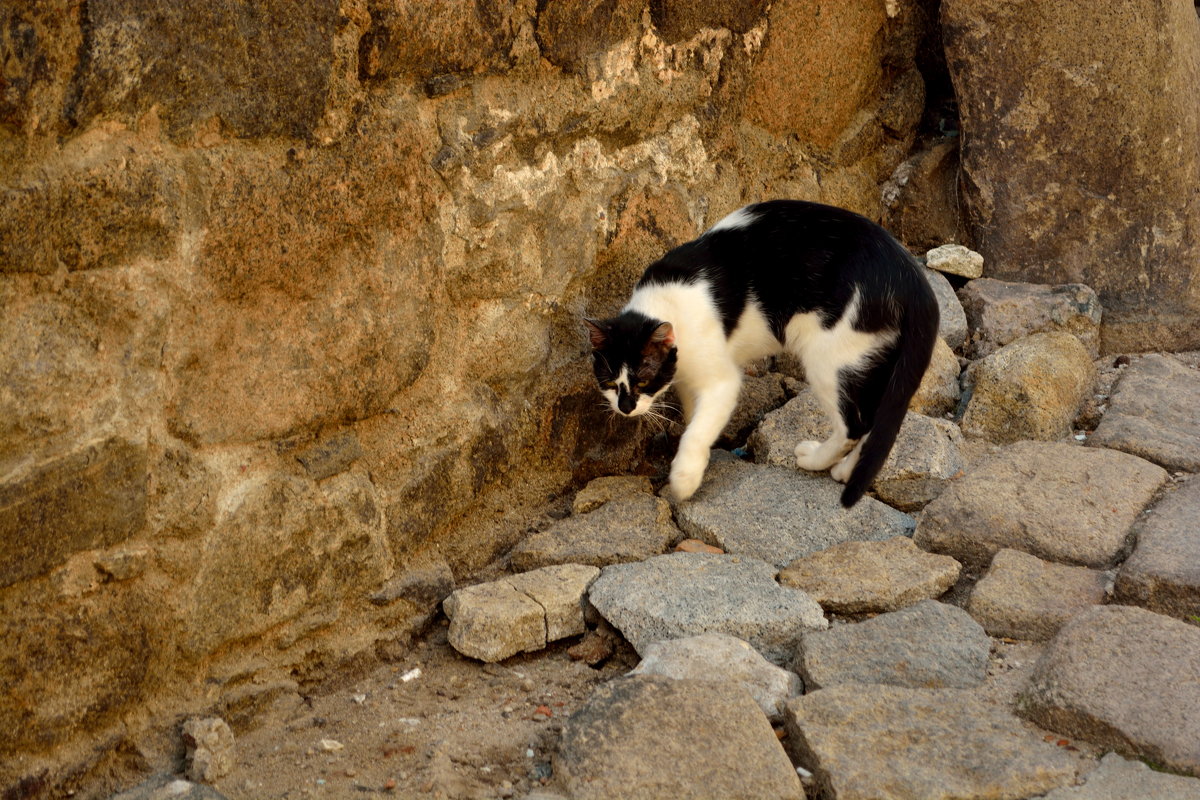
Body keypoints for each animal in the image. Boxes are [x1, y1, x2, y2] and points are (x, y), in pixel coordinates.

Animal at [585, 203, 940, 510]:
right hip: (872, 357)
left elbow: (698, 429)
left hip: (830, 356)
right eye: (609, 383)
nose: (625, 408)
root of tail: (913, 278)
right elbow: (694, 415)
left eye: (643, 380)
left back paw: (815, 460)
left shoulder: (722, 381)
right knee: (872, 418)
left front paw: (685, 477)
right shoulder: (686, 378)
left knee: (854, 424)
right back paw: (846, 471)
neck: (662, 305)